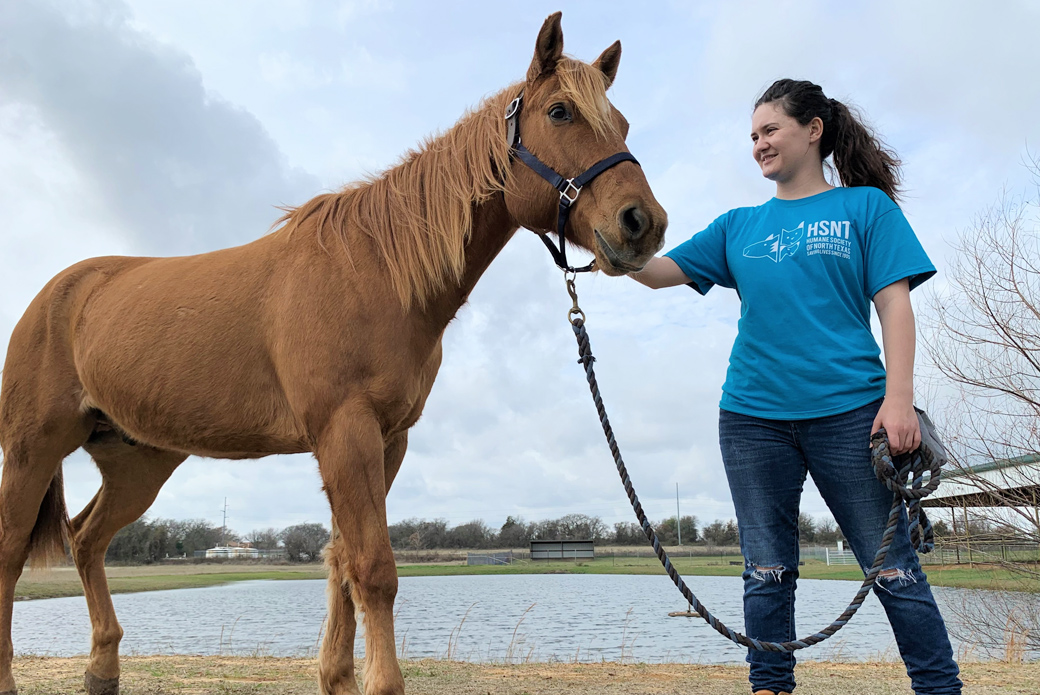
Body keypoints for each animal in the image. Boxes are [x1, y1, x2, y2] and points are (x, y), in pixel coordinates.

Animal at [0, 10, 665, 695]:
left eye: (622, 124)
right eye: (560, 112)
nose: (642, 223)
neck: (375, 272)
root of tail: (58, 293)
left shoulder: (387, 440)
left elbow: (342, 560)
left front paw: (337, 676)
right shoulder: (344, 433)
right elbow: (373, 567)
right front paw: (379, 681)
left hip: (138, 463)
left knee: (86, 539)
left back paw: (102, 668)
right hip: (32, 450)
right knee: (11, 552)